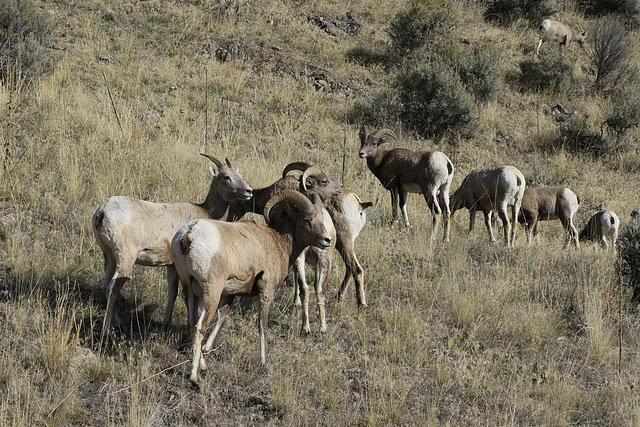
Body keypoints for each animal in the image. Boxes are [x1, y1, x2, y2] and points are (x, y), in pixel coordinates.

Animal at [92, 154, 252, 338]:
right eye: (226, 177)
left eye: (239, 175)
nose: (248, 191)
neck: (205, 212)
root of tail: (103, 210)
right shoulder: (177, 267)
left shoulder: (170, 266)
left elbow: (172, 292)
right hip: (125, 258)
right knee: (113, 289)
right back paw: (108, 332)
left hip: (109, 256)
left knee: (106, 286)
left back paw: (120, 325)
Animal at [172, 191, 332, 388]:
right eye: (306, 220)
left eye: (321, 219)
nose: (327, 240)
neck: (278, 242)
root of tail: (189, 235)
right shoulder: (266, 291)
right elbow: (262, 325)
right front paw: (264, 362)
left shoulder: (229, 295)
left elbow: (221, 321)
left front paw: (205, 364)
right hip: (211, 292)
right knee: (200, 326)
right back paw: (195, 380)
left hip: (189, 288)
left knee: (192, 323)